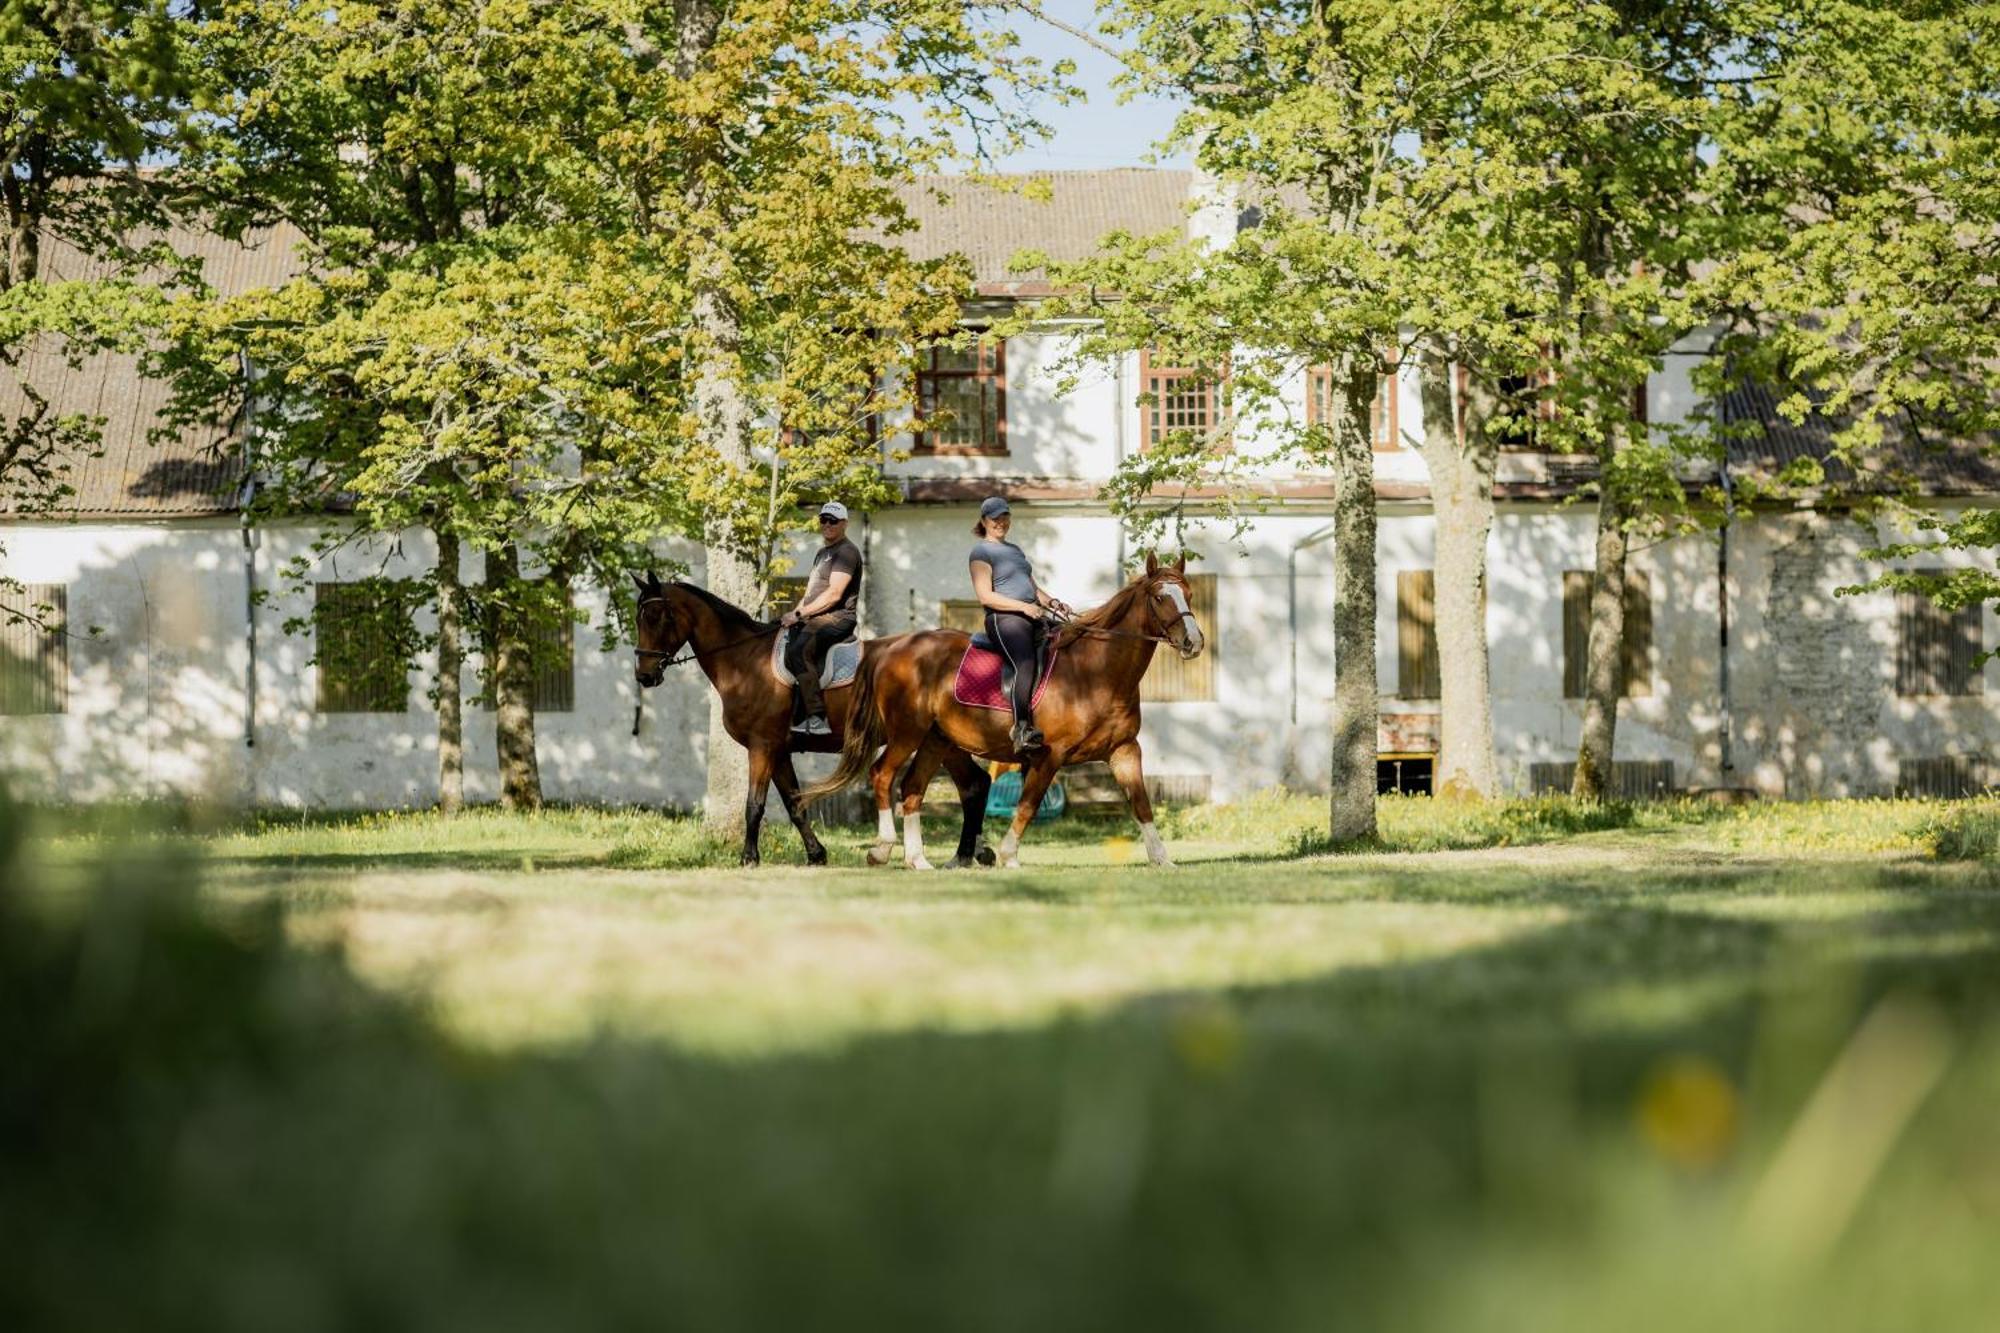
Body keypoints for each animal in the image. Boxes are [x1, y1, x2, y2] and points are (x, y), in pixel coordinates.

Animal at [628, 572, 996, 868]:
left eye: (657, 616)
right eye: (638, 617)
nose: (644, 675)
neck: (746, 661)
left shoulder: (762, 746)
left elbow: (755, 804)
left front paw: (749, 857)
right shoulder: (779, 751)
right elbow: (795, 804)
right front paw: (816, 854)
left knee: (971, 784)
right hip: (945, 738)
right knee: (974, 785)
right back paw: (972, 853)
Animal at [804, 548, 1208, 860]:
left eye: (1188, 593)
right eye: (1160, 597)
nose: (1194, 642)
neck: (1095, 672)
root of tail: (891, 647)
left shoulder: (1124, 750)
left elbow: (1141, 804)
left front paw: (1163, 860)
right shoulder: (1049, 755)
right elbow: (1028, 805)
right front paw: (1008, 856)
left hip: (935, 740)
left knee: (913, 790)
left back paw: (918, 860)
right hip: (907, 733)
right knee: (882, 775)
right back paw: (882, 849)